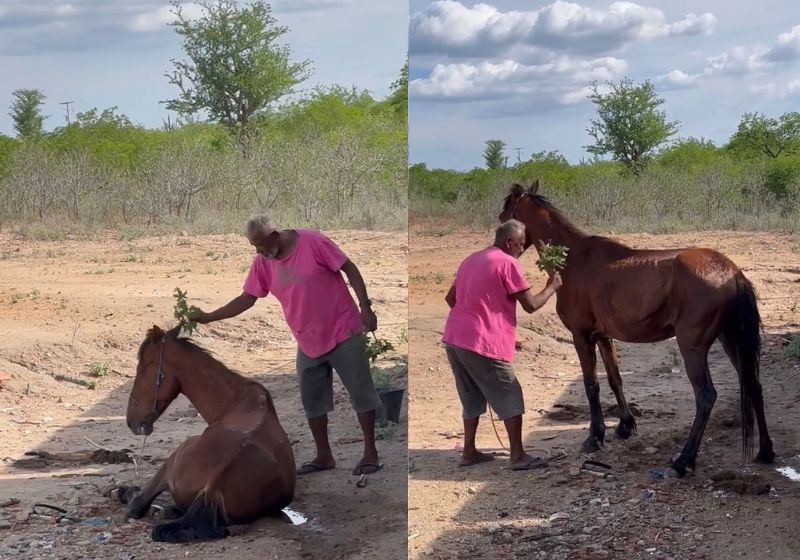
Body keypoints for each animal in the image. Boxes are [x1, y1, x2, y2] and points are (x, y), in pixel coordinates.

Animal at [118, 325, 296, 542]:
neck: (238, 401)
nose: (131, 421)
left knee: (138, 505)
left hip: (173, 459)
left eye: (142, 370)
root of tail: (215, 482)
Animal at [499, 180, 775, 476]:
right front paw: (625, 425)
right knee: (754, 384)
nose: (499, 226)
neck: (573, 259)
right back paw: (765, 451)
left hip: (693, 347)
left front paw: (595, 437)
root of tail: (732, 272)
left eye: (507, 206)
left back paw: (683, 461)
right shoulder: (603, 337)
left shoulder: (581, 336)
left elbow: (591, 384)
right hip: (731, 339)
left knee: (706, 396)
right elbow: (614, 379)